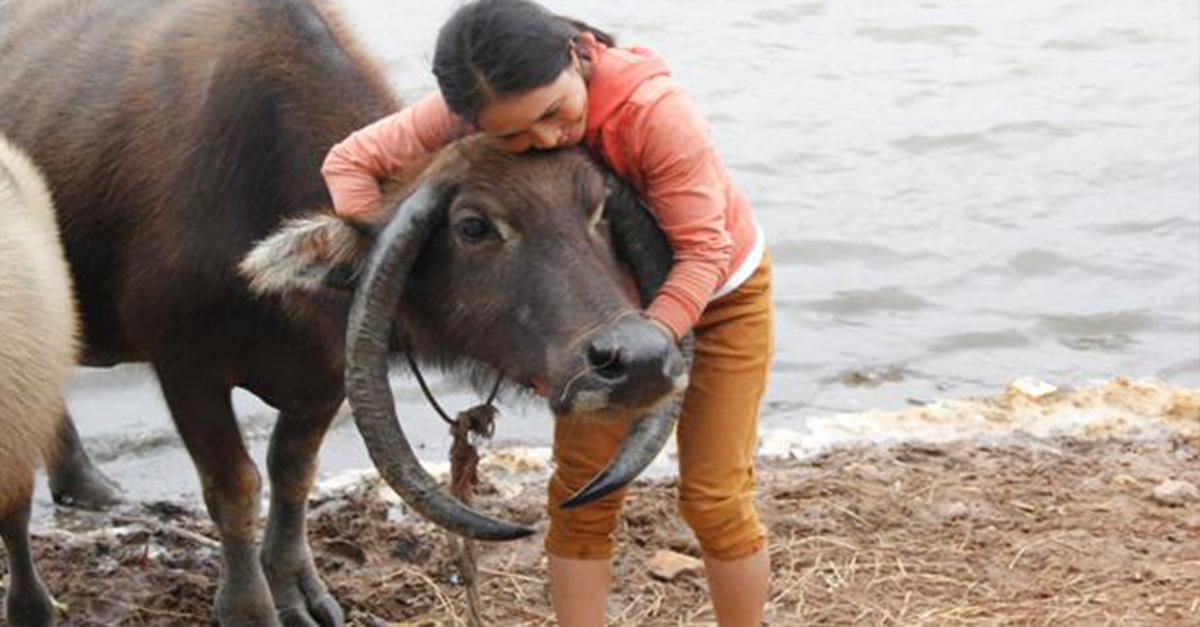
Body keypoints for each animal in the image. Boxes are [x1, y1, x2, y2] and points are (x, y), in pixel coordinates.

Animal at [0, 1, 686, 619]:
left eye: (598, 210)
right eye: (473, 226)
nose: (639, 357)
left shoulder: (328, 369)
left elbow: (292, 472)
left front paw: (297, 588)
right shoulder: (185, 367)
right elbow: (235, 486)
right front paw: (249, 607)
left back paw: (85, 485)